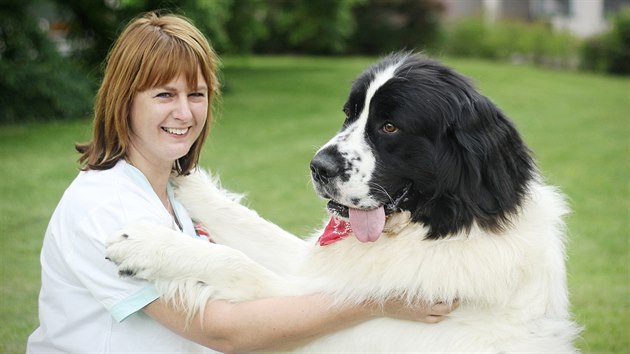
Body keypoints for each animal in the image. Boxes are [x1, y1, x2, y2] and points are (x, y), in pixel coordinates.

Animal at [106, 51, 580, 352]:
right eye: (349, 114)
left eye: (389, 126)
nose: (318, 167)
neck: (441, 228)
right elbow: (252, 226)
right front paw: (185, 179)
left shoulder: (316, 312)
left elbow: (237, 264)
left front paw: (146, 244)